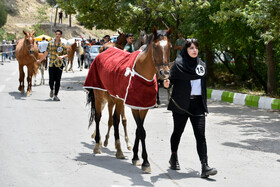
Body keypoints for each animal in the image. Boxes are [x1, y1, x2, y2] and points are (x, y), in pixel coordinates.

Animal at [85, 25, 173, 172]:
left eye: (169, 46)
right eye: (155, 47)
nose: (164, 73)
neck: (142, 71)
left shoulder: (143, 106)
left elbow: (138, 130)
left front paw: (136, 157)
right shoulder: (133, 106)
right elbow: (141, 131)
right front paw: (145, 162)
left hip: (116, 97)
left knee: (115, 119)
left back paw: (118, 149)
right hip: (99, 92)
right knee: (98, 116)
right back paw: (98, 145)